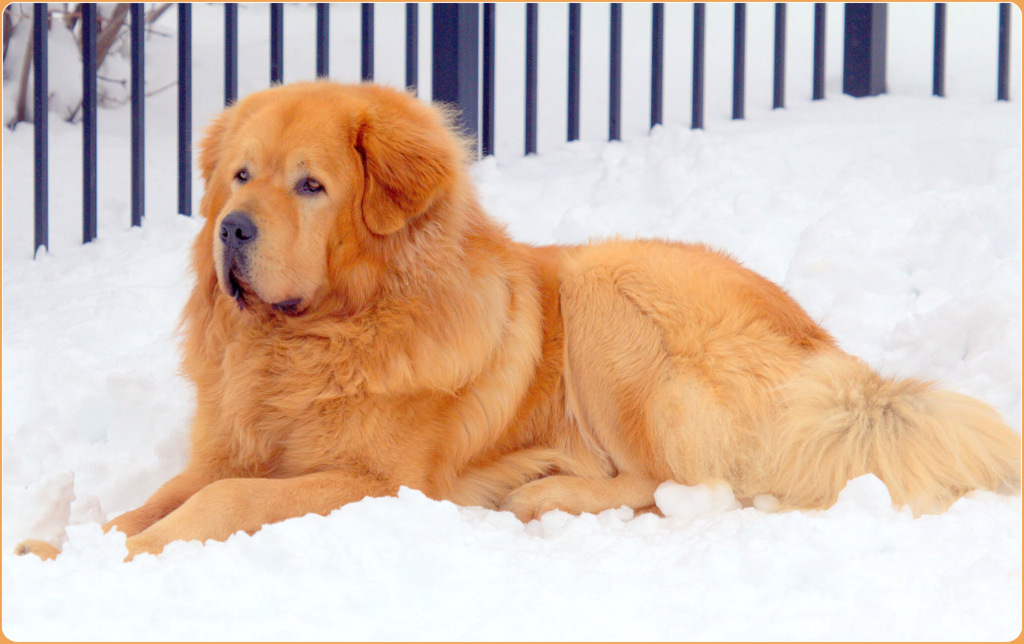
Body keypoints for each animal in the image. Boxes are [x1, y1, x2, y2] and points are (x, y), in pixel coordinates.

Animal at [14, 81, 1015, 561]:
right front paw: (62, 546)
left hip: (611, 292)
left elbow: (223, 504)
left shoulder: (375, 482)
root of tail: (830, 355)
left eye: (310, 185)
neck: (320, 337)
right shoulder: (231, 448)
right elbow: (156, 499)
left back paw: (543, 492)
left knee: (680, 485)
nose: (233, 228)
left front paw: (129, 555)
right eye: (240, 177)